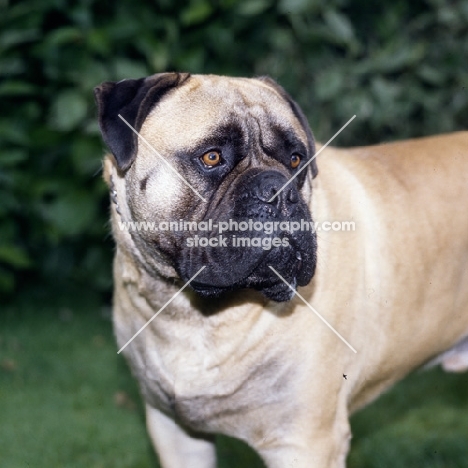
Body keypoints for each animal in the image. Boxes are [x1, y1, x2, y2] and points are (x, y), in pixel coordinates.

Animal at [94, 71, 468, 466]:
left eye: (295, 160)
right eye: (211, 157)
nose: (281, 190)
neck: (197, 316)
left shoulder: (304, 442)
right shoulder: (175, 432)